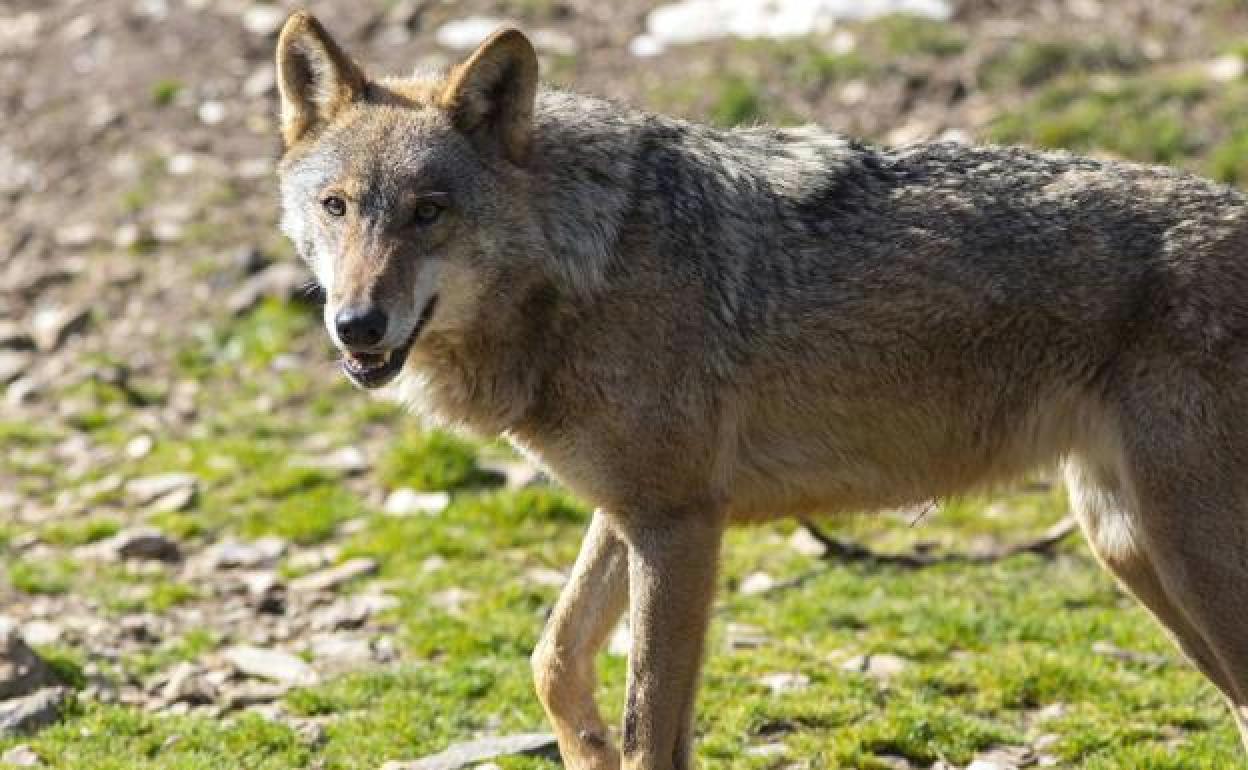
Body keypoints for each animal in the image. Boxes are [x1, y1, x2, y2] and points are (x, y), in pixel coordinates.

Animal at [275, 12, 1248, 768]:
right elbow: (553, 660)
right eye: (337, 207)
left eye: (429, 212)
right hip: (1126, 546)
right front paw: (582, 743)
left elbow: (647, 733)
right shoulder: (636, 510)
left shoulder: (678, 526)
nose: (357, 325)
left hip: (1179, 557)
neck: (588, 264)